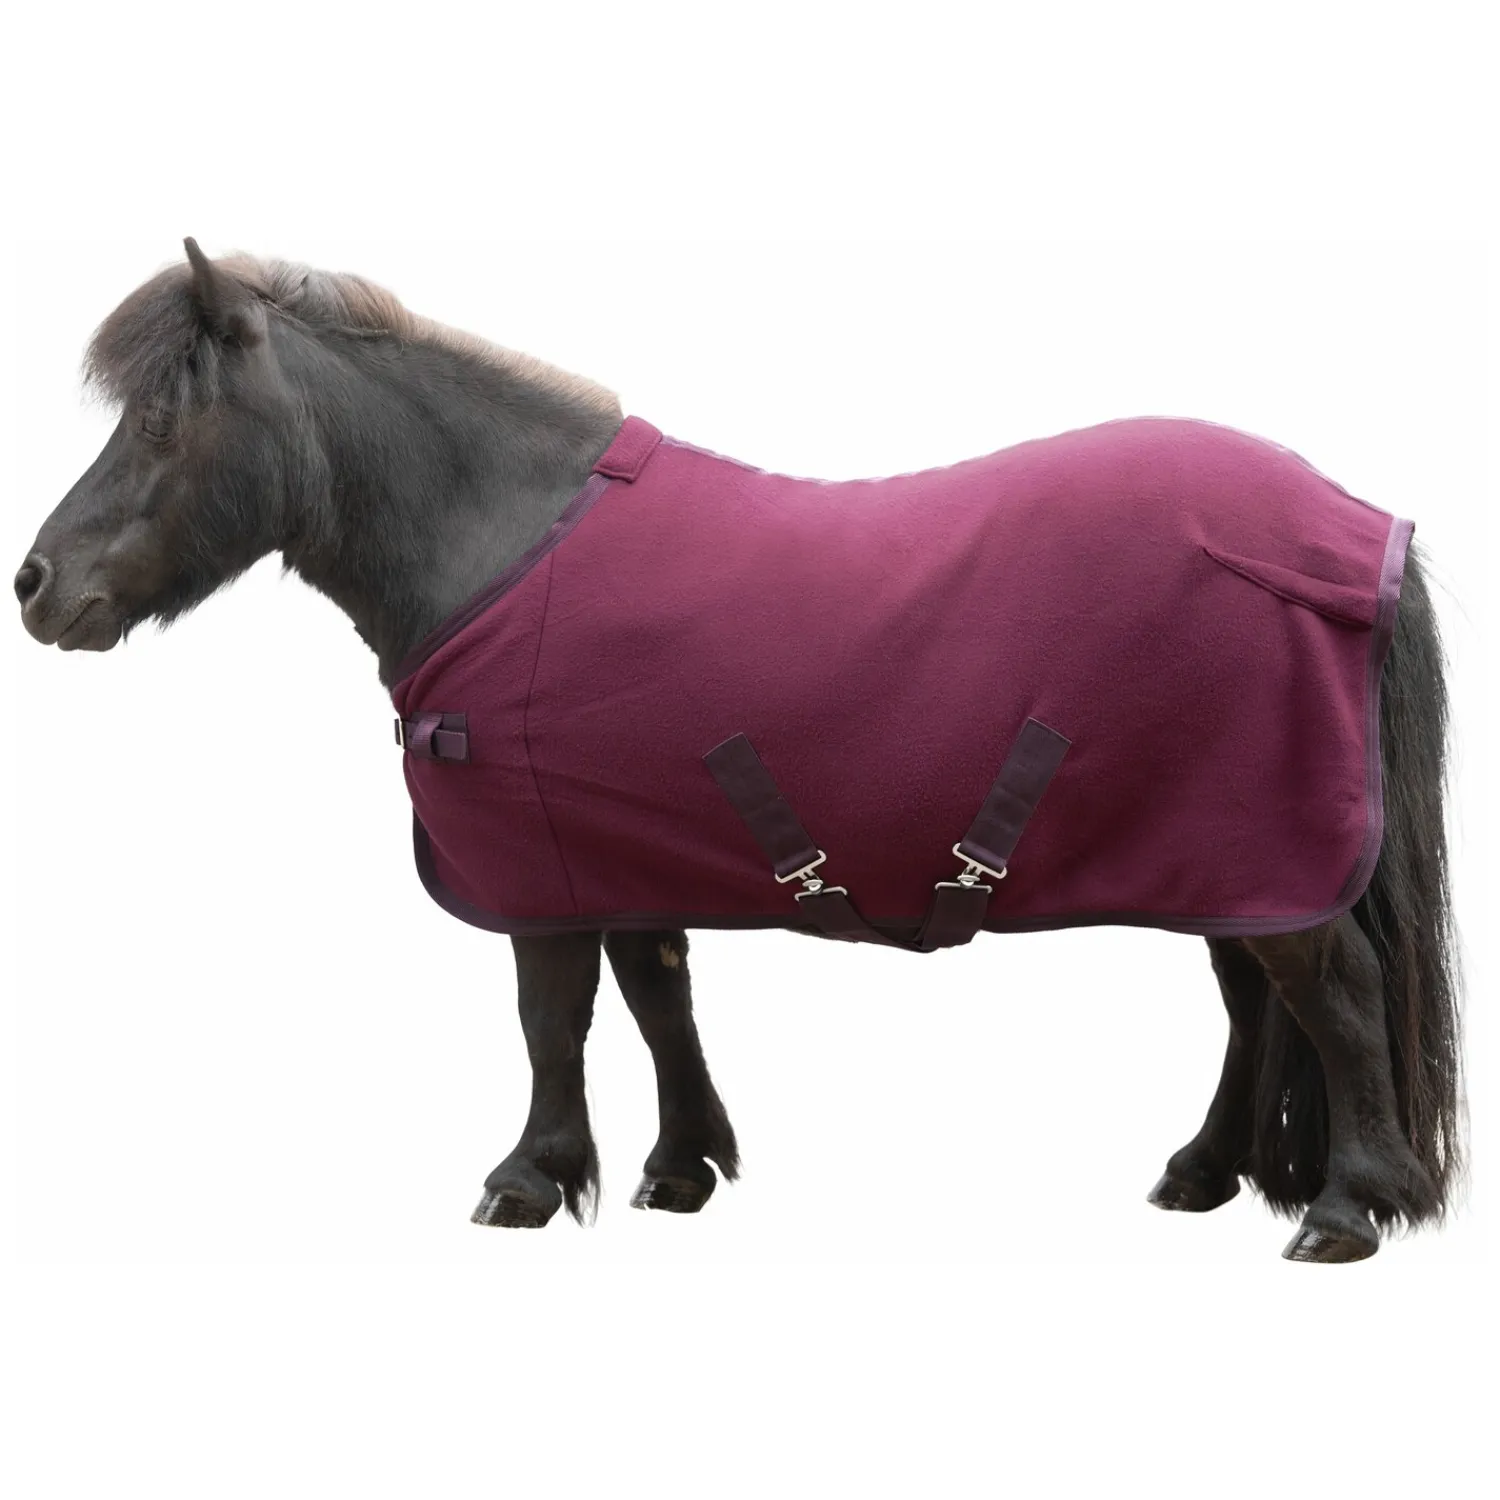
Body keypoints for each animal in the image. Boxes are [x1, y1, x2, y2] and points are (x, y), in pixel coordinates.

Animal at [15, 239, 1464, 1260]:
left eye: (166, 417)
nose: (34, 585)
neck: (503, 546)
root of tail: (1344, 532)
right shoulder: (621, 846)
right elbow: (658, 996)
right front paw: (679, 1167)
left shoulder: (537, 870)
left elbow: (553, 1015)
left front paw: (531, 1177)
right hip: (1228, 859)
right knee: (1257, 1006)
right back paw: (1207, 1172)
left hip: (1257, 852)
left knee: (1330, 993)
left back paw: (1347, 1208)